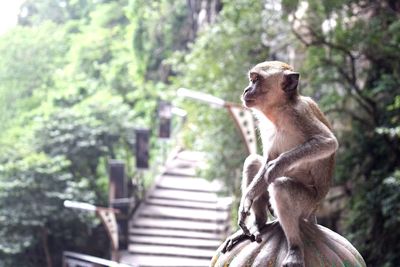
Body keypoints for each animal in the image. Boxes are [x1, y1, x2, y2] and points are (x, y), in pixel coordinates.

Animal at [222, 61, 338, 267]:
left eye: (256, 80)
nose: (246, 90)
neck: (279, 112)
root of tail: (316, 209)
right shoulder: (265, 125)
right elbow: (266, 160)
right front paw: (246, 201)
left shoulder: (300, 114)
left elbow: (328, 143)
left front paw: (278, 165)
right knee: (253, 162)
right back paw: (258, 224)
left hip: (308, 204)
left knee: (281, 188)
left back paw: (295, 249)